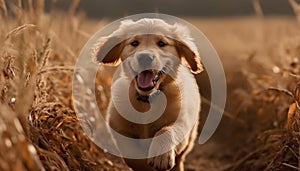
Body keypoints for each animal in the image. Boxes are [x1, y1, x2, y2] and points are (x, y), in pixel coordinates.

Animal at [92, 18, 203, 171]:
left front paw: (161, 155)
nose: (145, 57)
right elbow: (133, 156)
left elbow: (166, 130)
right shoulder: (119, 129)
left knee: (180, 159)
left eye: (162, 43)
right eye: (134, 43)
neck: (147, 100)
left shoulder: (182, 121)